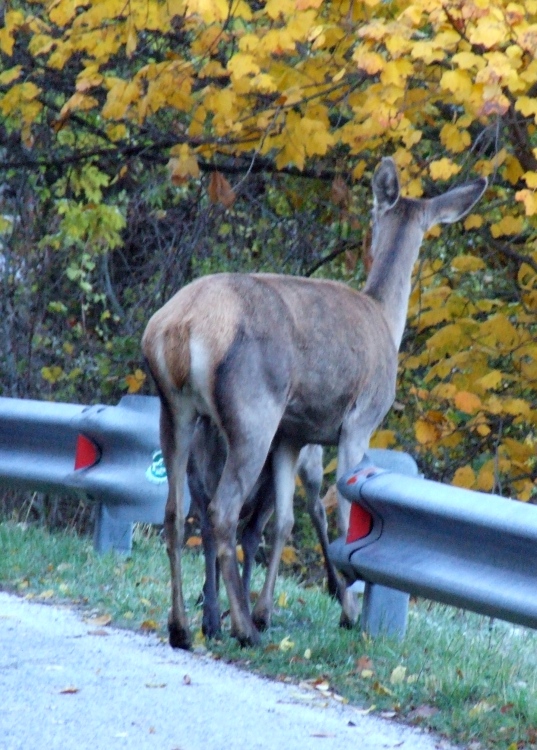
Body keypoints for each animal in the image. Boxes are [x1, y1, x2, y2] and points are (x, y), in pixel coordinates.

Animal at [188, 420, 340, 636]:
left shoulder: (268, 493)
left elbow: (250, 538)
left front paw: (241, 606)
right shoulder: (196, 485)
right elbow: (210, 540)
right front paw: (210, 618)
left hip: (311, 460)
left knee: (317, 509)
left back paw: (336, 588)